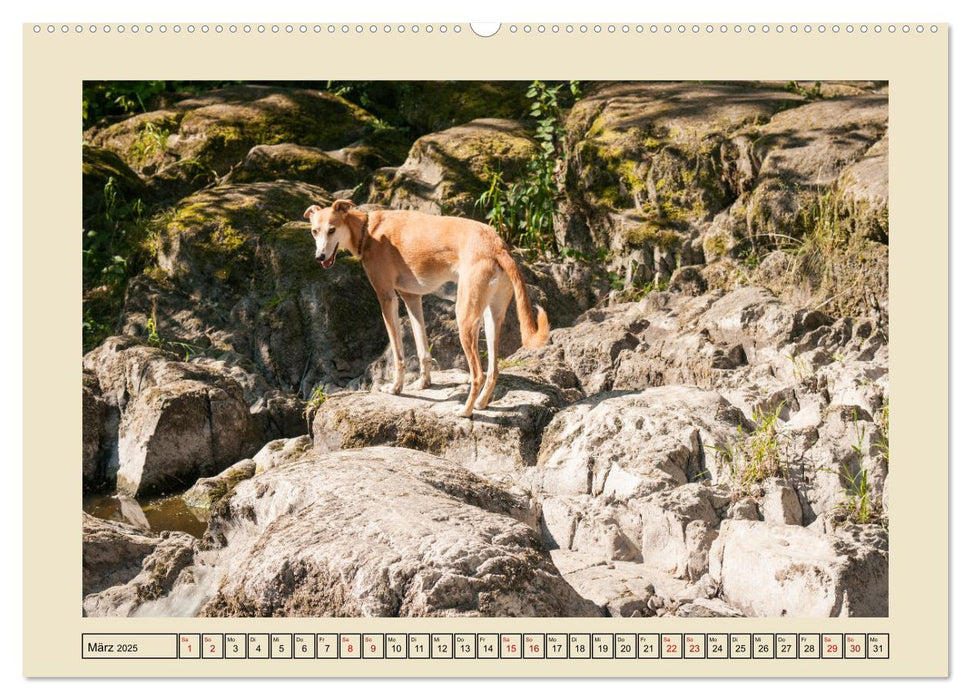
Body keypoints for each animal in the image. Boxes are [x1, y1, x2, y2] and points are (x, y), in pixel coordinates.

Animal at [304, 198, 548, 416]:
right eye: (315, 231)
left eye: (332, 230)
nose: (319, 257)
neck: (368, 230)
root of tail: (498, 246)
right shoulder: (412, 298)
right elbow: (422, 350)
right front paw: (424, 383)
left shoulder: (387, 299)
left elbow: (398, 354)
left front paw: (396, 388)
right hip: (491, 319)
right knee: (493, 370)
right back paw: (481, 403)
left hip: (465, 318)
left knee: (478, 374)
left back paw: (466, 411)